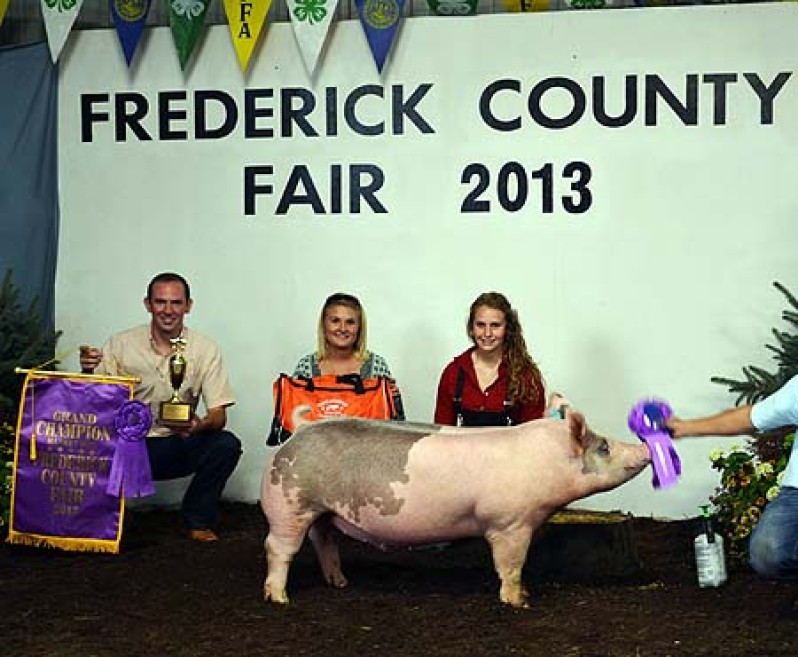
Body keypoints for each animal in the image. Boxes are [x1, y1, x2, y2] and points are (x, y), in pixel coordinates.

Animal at [260, 402, 648, 608]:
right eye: (603, 447)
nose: (645, 447)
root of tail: (299, 430)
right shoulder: (509, 523)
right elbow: (510, 565)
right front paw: (519, 603)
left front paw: (525, 594)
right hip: (290, 505)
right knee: (278, 548)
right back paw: (280, 599)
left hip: (322, 512)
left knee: (323, 541)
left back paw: (340, 583)